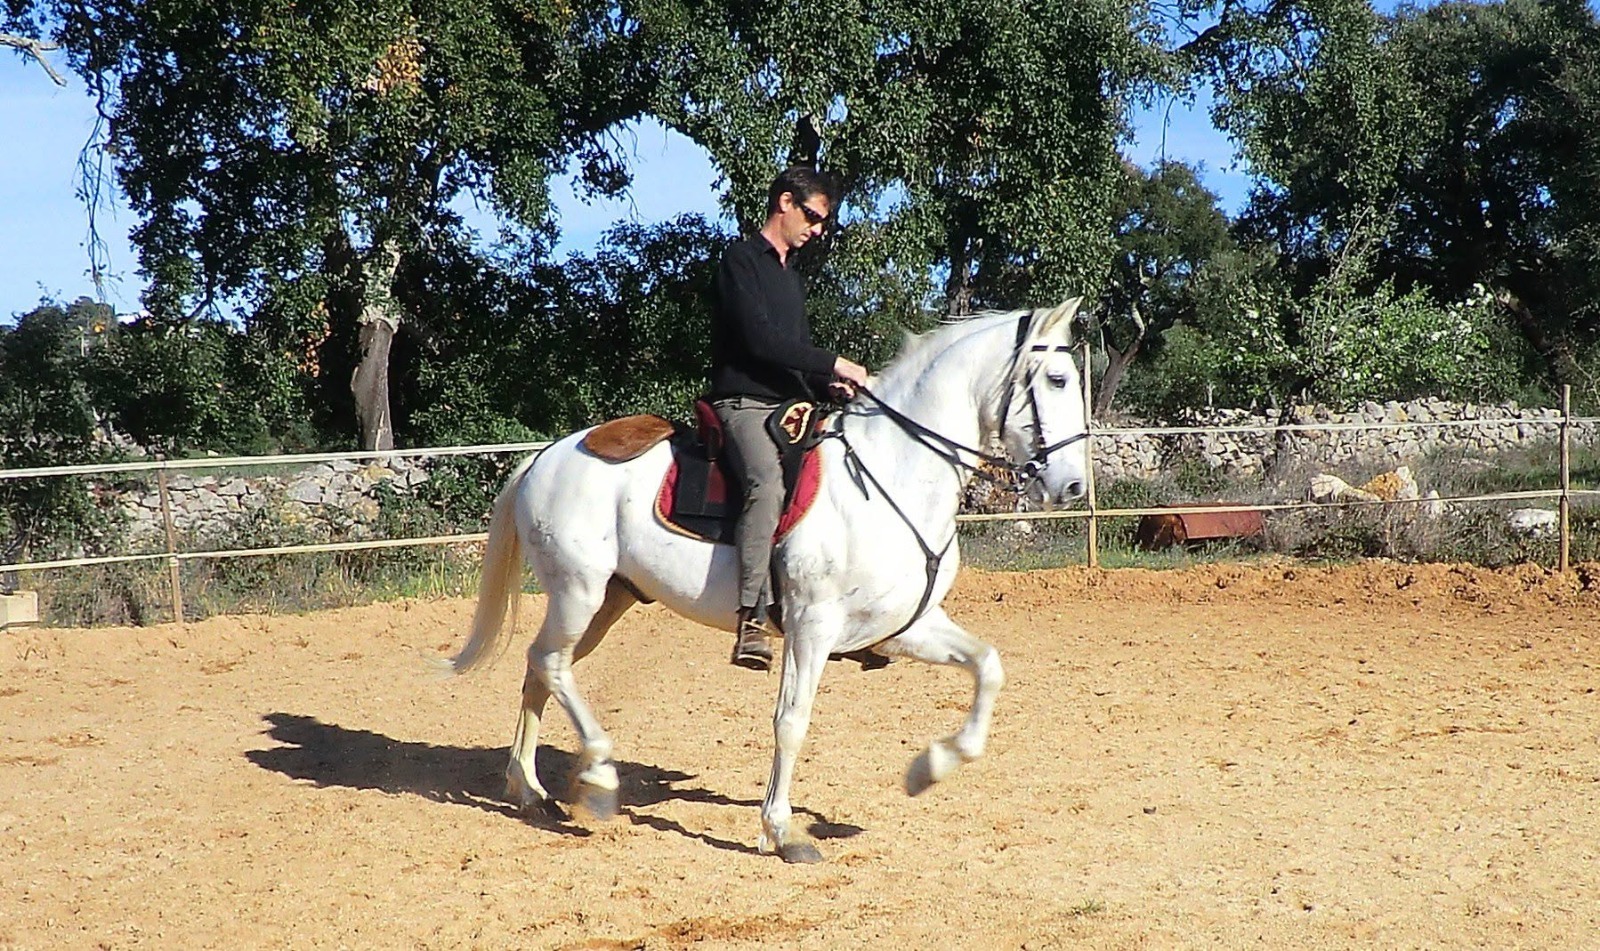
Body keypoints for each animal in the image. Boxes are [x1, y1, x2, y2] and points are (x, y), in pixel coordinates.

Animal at [443, 297, 1090, 863]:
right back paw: (597, 777)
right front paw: (781, 832)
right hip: (579, 593)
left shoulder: (905, 627)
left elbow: (988, 666)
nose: (1074, 487)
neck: (890, 474)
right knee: (551, 665)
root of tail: (545, 456)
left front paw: (929, 767)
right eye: (1058, 379)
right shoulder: (811, 628)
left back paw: (529, 790)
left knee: (540, 665)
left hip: (606, 601)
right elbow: (791, 722)